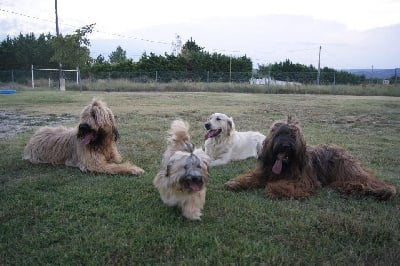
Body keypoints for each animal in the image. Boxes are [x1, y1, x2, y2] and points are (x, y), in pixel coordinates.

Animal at [225, 115, 396, 200]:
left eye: (293, 135)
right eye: (279, 134)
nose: (285, 146)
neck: (285, 165)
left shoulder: (304, 181)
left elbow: (284, 185)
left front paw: (273, 189)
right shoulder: (265, 171)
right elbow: (251, 176)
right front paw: (235, 182)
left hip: (347, 170)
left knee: (372, 182)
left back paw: (379, 191)